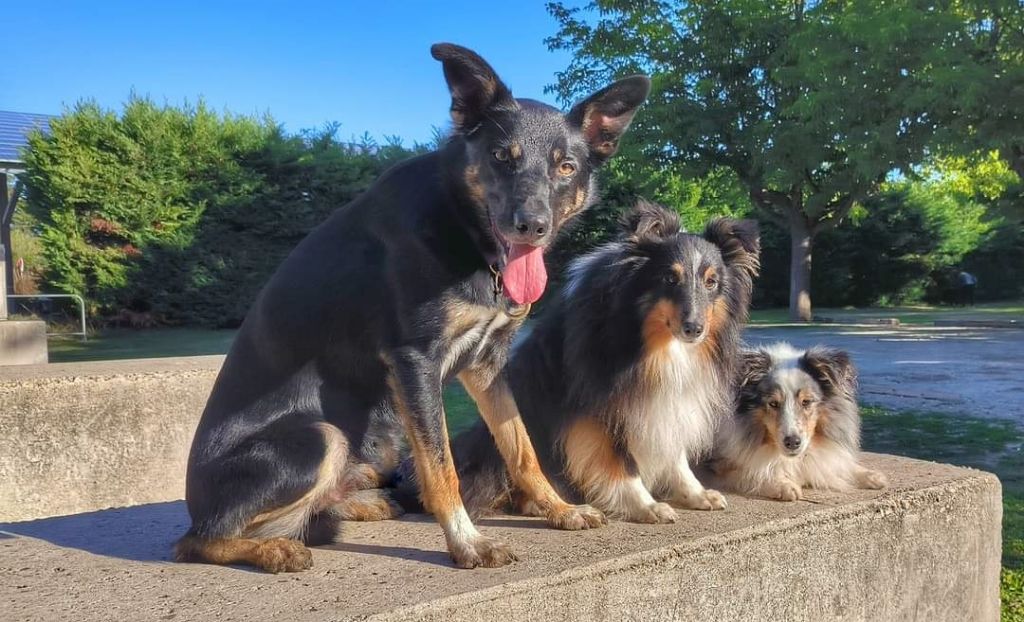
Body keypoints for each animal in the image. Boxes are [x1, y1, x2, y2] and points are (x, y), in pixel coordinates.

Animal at [171, 42, 643, 573]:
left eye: (566, 167)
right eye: (501, 156)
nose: (532, 225)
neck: (465, 228)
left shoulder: (486, 366)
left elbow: (521, 449)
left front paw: (559, 510)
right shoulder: (415, 363)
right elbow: (442, 470)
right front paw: (467, 543)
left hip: (378, 438)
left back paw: (356, 504)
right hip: (323, 437)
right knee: (199, 540)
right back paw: (273, 547)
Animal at [432, 201, 761, 522]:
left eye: (711, 282)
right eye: (670, 277)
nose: (694, 329)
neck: (648, 341)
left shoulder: (668, 397)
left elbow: (673, 447)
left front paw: (696, 493)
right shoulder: (598, 405)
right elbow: (620, 460)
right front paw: (646, 505)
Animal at [712, 342, 888, 504]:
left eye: (806, 402)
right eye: (773, 403)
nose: (792, 442)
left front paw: (871, 475)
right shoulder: (718, 465)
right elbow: (750, 472)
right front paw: (784, 485)